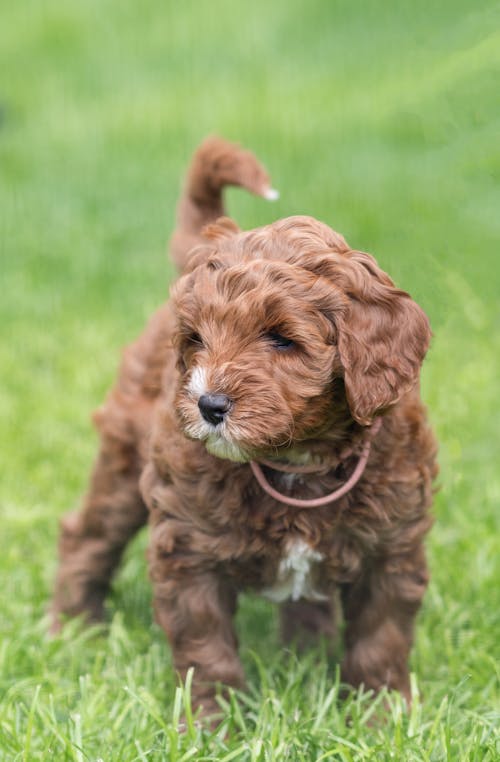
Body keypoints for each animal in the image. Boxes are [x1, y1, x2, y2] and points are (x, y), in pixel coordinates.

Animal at [50, 135, 438, 720]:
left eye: (281, 339)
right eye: (196, 340)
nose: (209, 404)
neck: (298, 461)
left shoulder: (391, 546)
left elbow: (381, 638)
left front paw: (382, 717)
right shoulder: (188, 546)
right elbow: (205, 646)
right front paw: (212, 723)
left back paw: (306, 653)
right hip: (124, 459)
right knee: (89, 536)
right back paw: (72, 631)